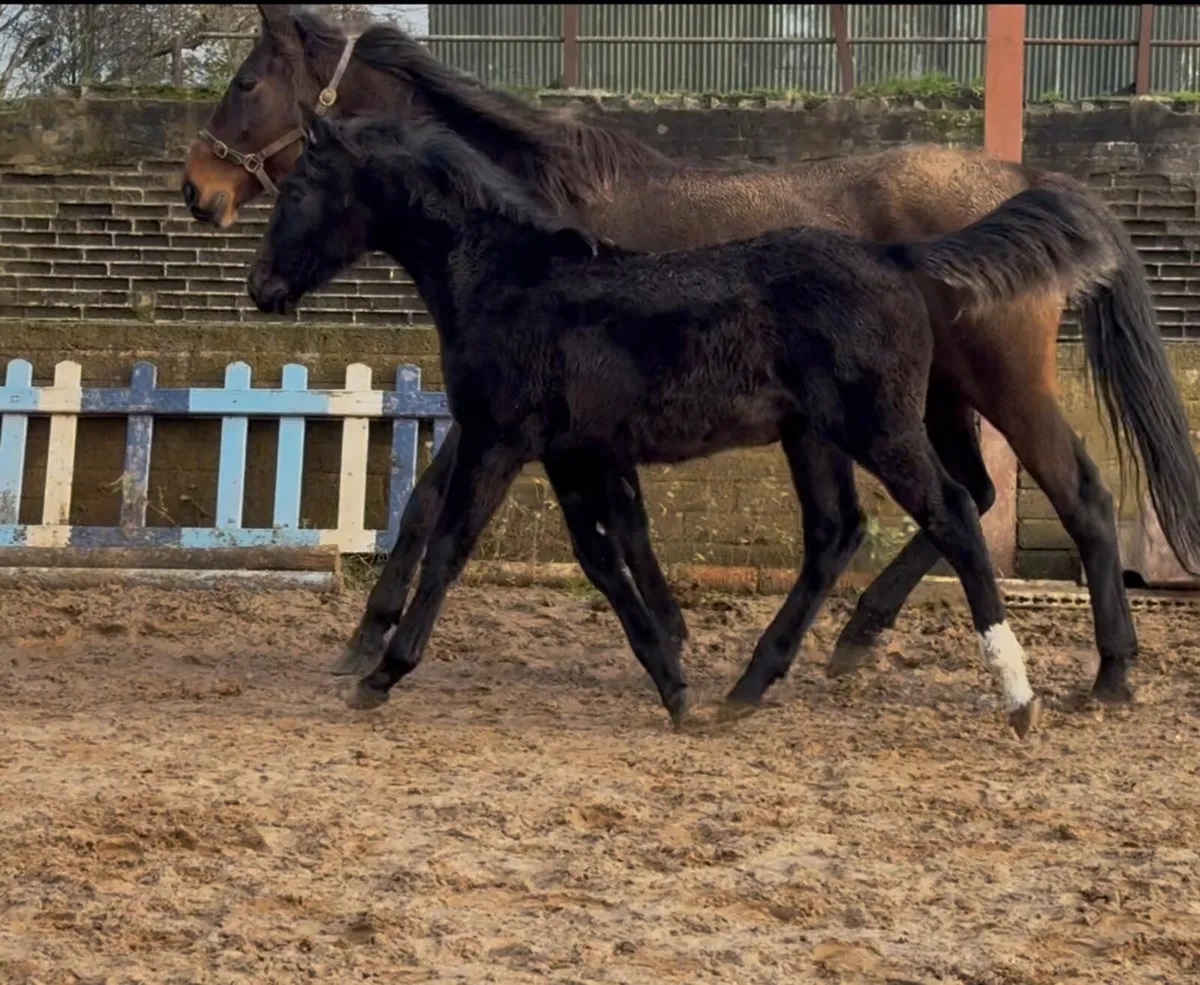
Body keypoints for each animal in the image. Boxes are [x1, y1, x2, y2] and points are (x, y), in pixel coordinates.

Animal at [185, 4, 1200, 708]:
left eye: (245, 81)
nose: (199, 191)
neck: (531, 224)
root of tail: (1025, 175)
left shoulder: (521, 422)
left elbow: (438, 507)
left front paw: (370, 645)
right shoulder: (571, 431)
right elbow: (591, 531)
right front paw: (669, 644)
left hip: (995, 385)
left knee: (1074, 496)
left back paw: (1107, 676)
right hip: (924, 400)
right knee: (962, 500)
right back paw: (851, 641)